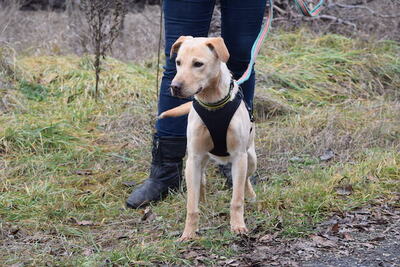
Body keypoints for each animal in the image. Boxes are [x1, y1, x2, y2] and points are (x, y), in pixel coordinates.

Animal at [162, 35, 256, 243]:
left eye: (198, 64)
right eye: (178, 62)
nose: (174, 87)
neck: (212, 103)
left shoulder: (239, 156)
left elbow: (236, 199)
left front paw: (238, 226)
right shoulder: (194, 157)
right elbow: (191, 205)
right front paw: (188, 233)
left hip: (251, 158)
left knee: (245, 179)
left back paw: (250, 194)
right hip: (197, 161)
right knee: (201, 181)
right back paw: (203, 201)